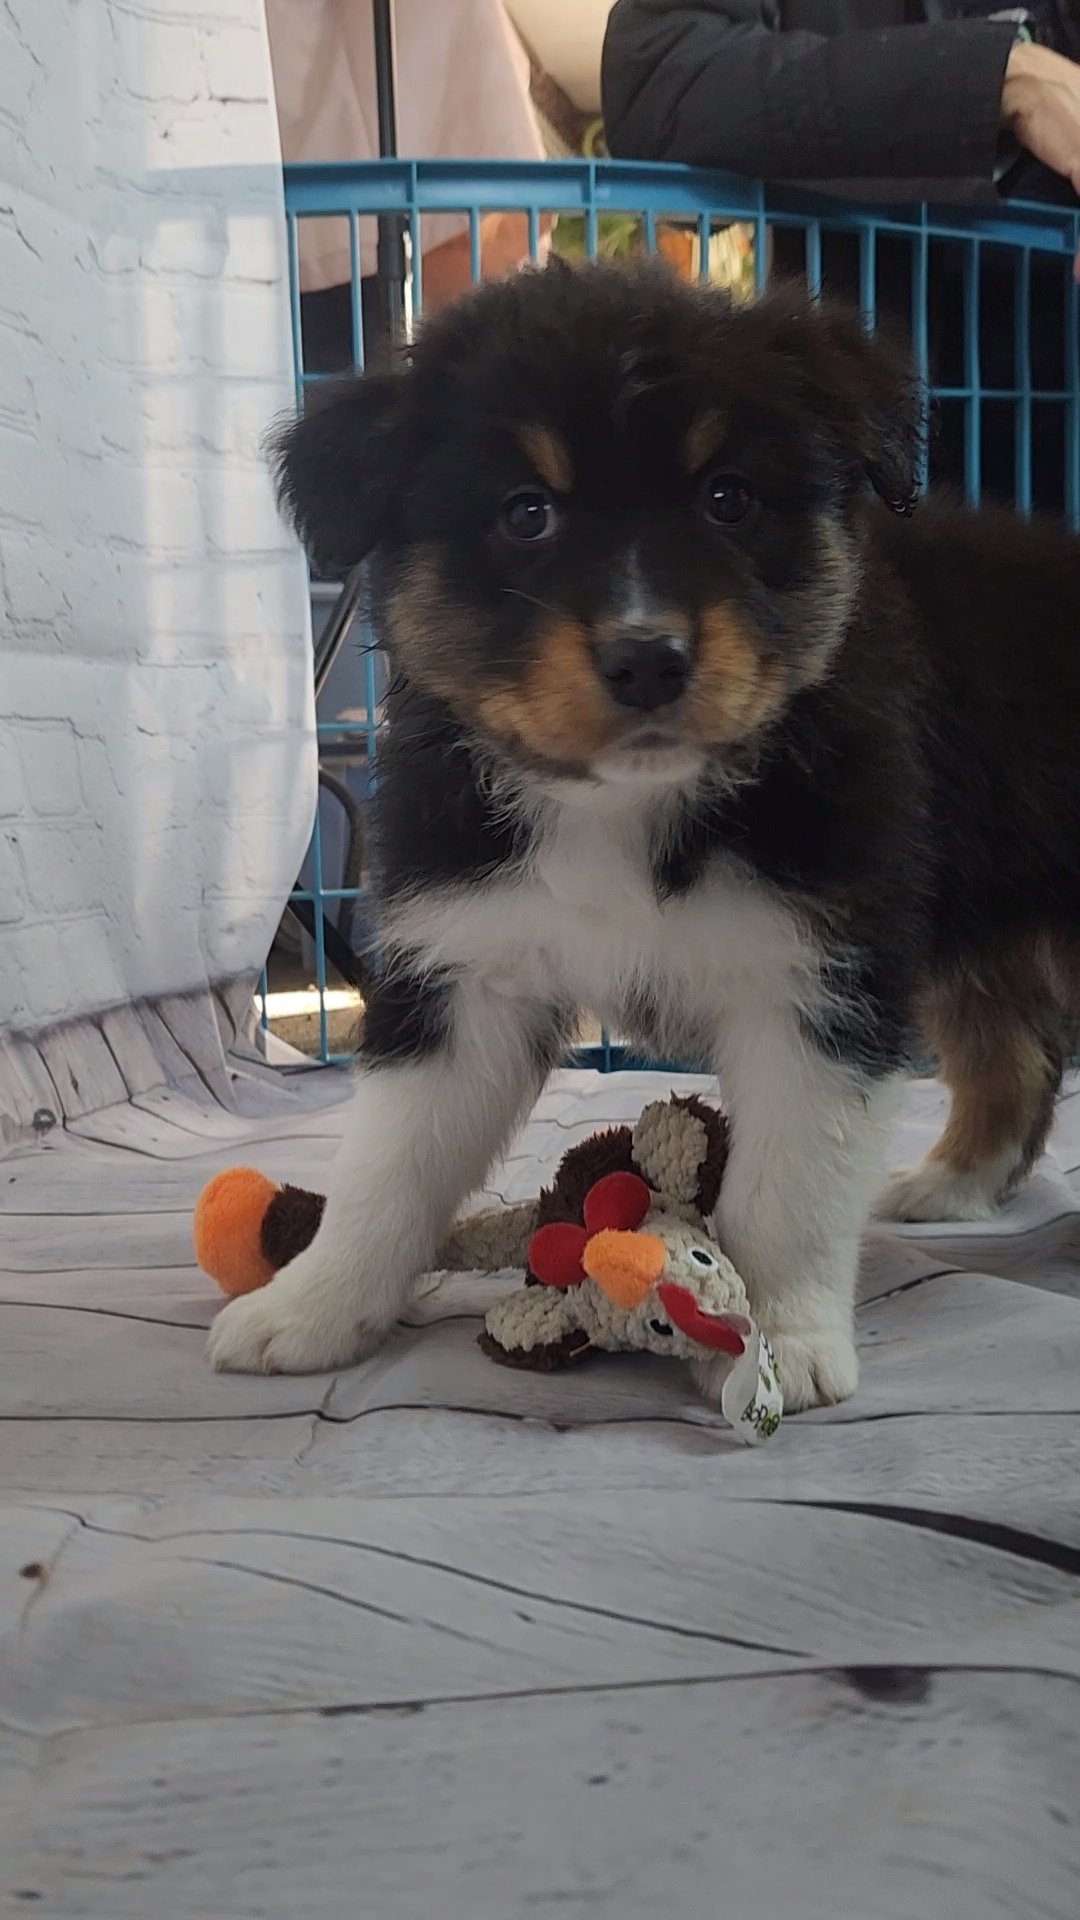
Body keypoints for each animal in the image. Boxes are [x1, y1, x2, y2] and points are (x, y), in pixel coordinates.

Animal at [208, 258, 1080, 1410]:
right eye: (526, 512)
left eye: (729, 497)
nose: (649, 659)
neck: (620, 805)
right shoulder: (466, 964)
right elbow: (389, 1167)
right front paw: (309, 1308)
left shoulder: (819, 973)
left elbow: (787, 1191)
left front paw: (779, 1342)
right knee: (1012, 1050)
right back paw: (950, 1183)